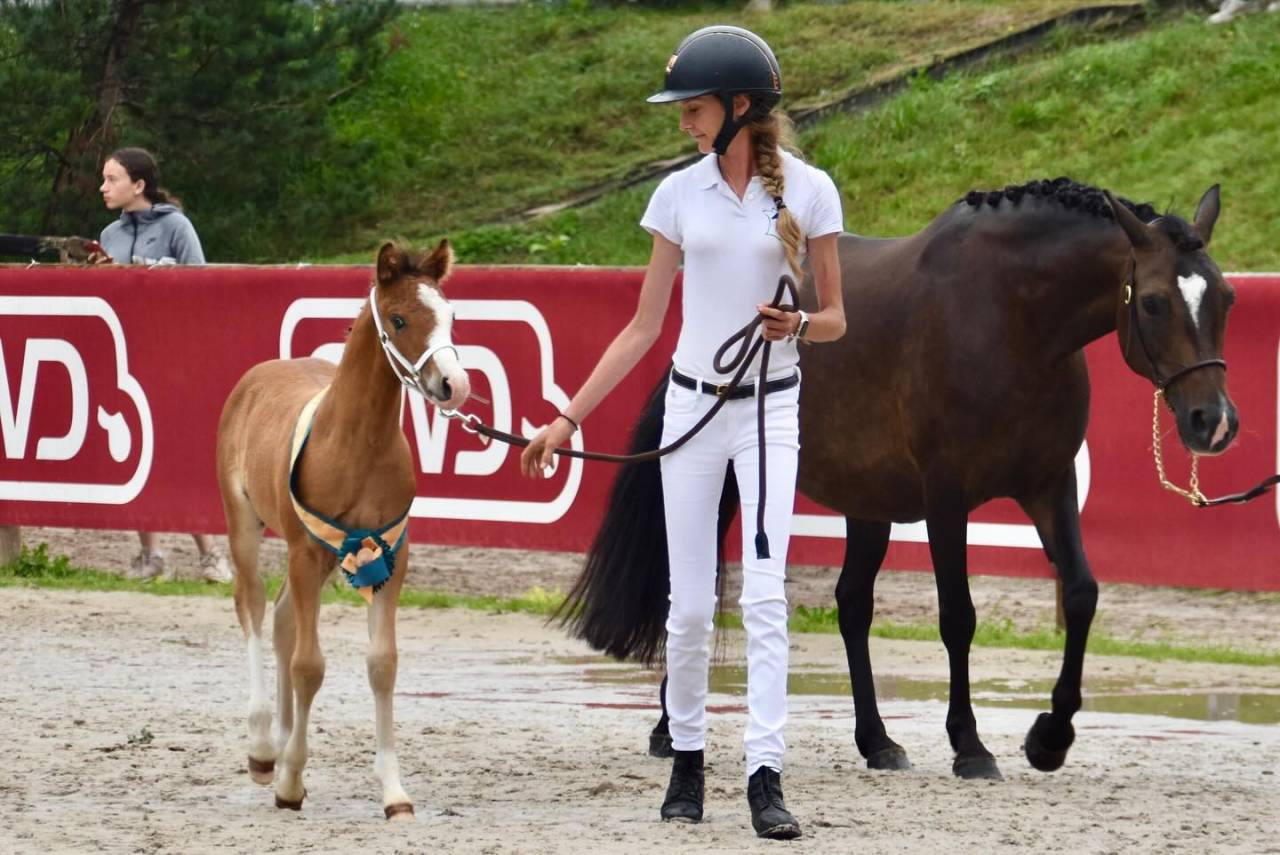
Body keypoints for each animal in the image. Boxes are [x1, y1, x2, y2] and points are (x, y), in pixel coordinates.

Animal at [215, 239, 469, 818]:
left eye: (450, 317)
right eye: (399, 319)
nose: (455, 385)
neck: (355, 445)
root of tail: (259, 375)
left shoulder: (390, 554)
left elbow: (382, 663)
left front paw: (394, 793)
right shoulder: (306, 554)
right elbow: (310, 666)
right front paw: (289, 783)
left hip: (325, 557)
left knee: (284, 619)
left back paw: (284, 741)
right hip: (247, 525)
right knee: (254, 607)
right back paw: (264, 749)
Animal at [560, 178, 1236, 780]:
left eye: (1226, 299)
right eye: (1153, 301)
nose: (1214, 421)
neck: (1011, 317)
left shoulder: (1050, 486)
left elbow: (1080, 594)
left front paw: (1050, 736)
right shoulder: (947, 497)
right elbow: (958, 616)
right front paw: (970, 746)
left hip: (869, 502)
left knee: (852, 606)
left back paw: (877, 741)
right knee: (698, 595)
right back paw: (672, 729)